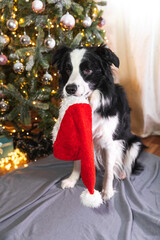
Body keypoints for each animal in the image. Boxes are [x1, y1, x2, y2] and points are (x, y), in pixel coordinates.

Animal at [52, 45, 142, 202]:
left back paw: (122, 173)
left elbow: (109, 169)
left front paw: (106, 191)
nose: (70, 89)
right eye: (67, 69)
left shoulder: (110, 142)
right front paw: (72, 180)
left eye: (88, 70)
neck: (89, 102)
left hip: (134, 144)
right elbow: (77, 163)